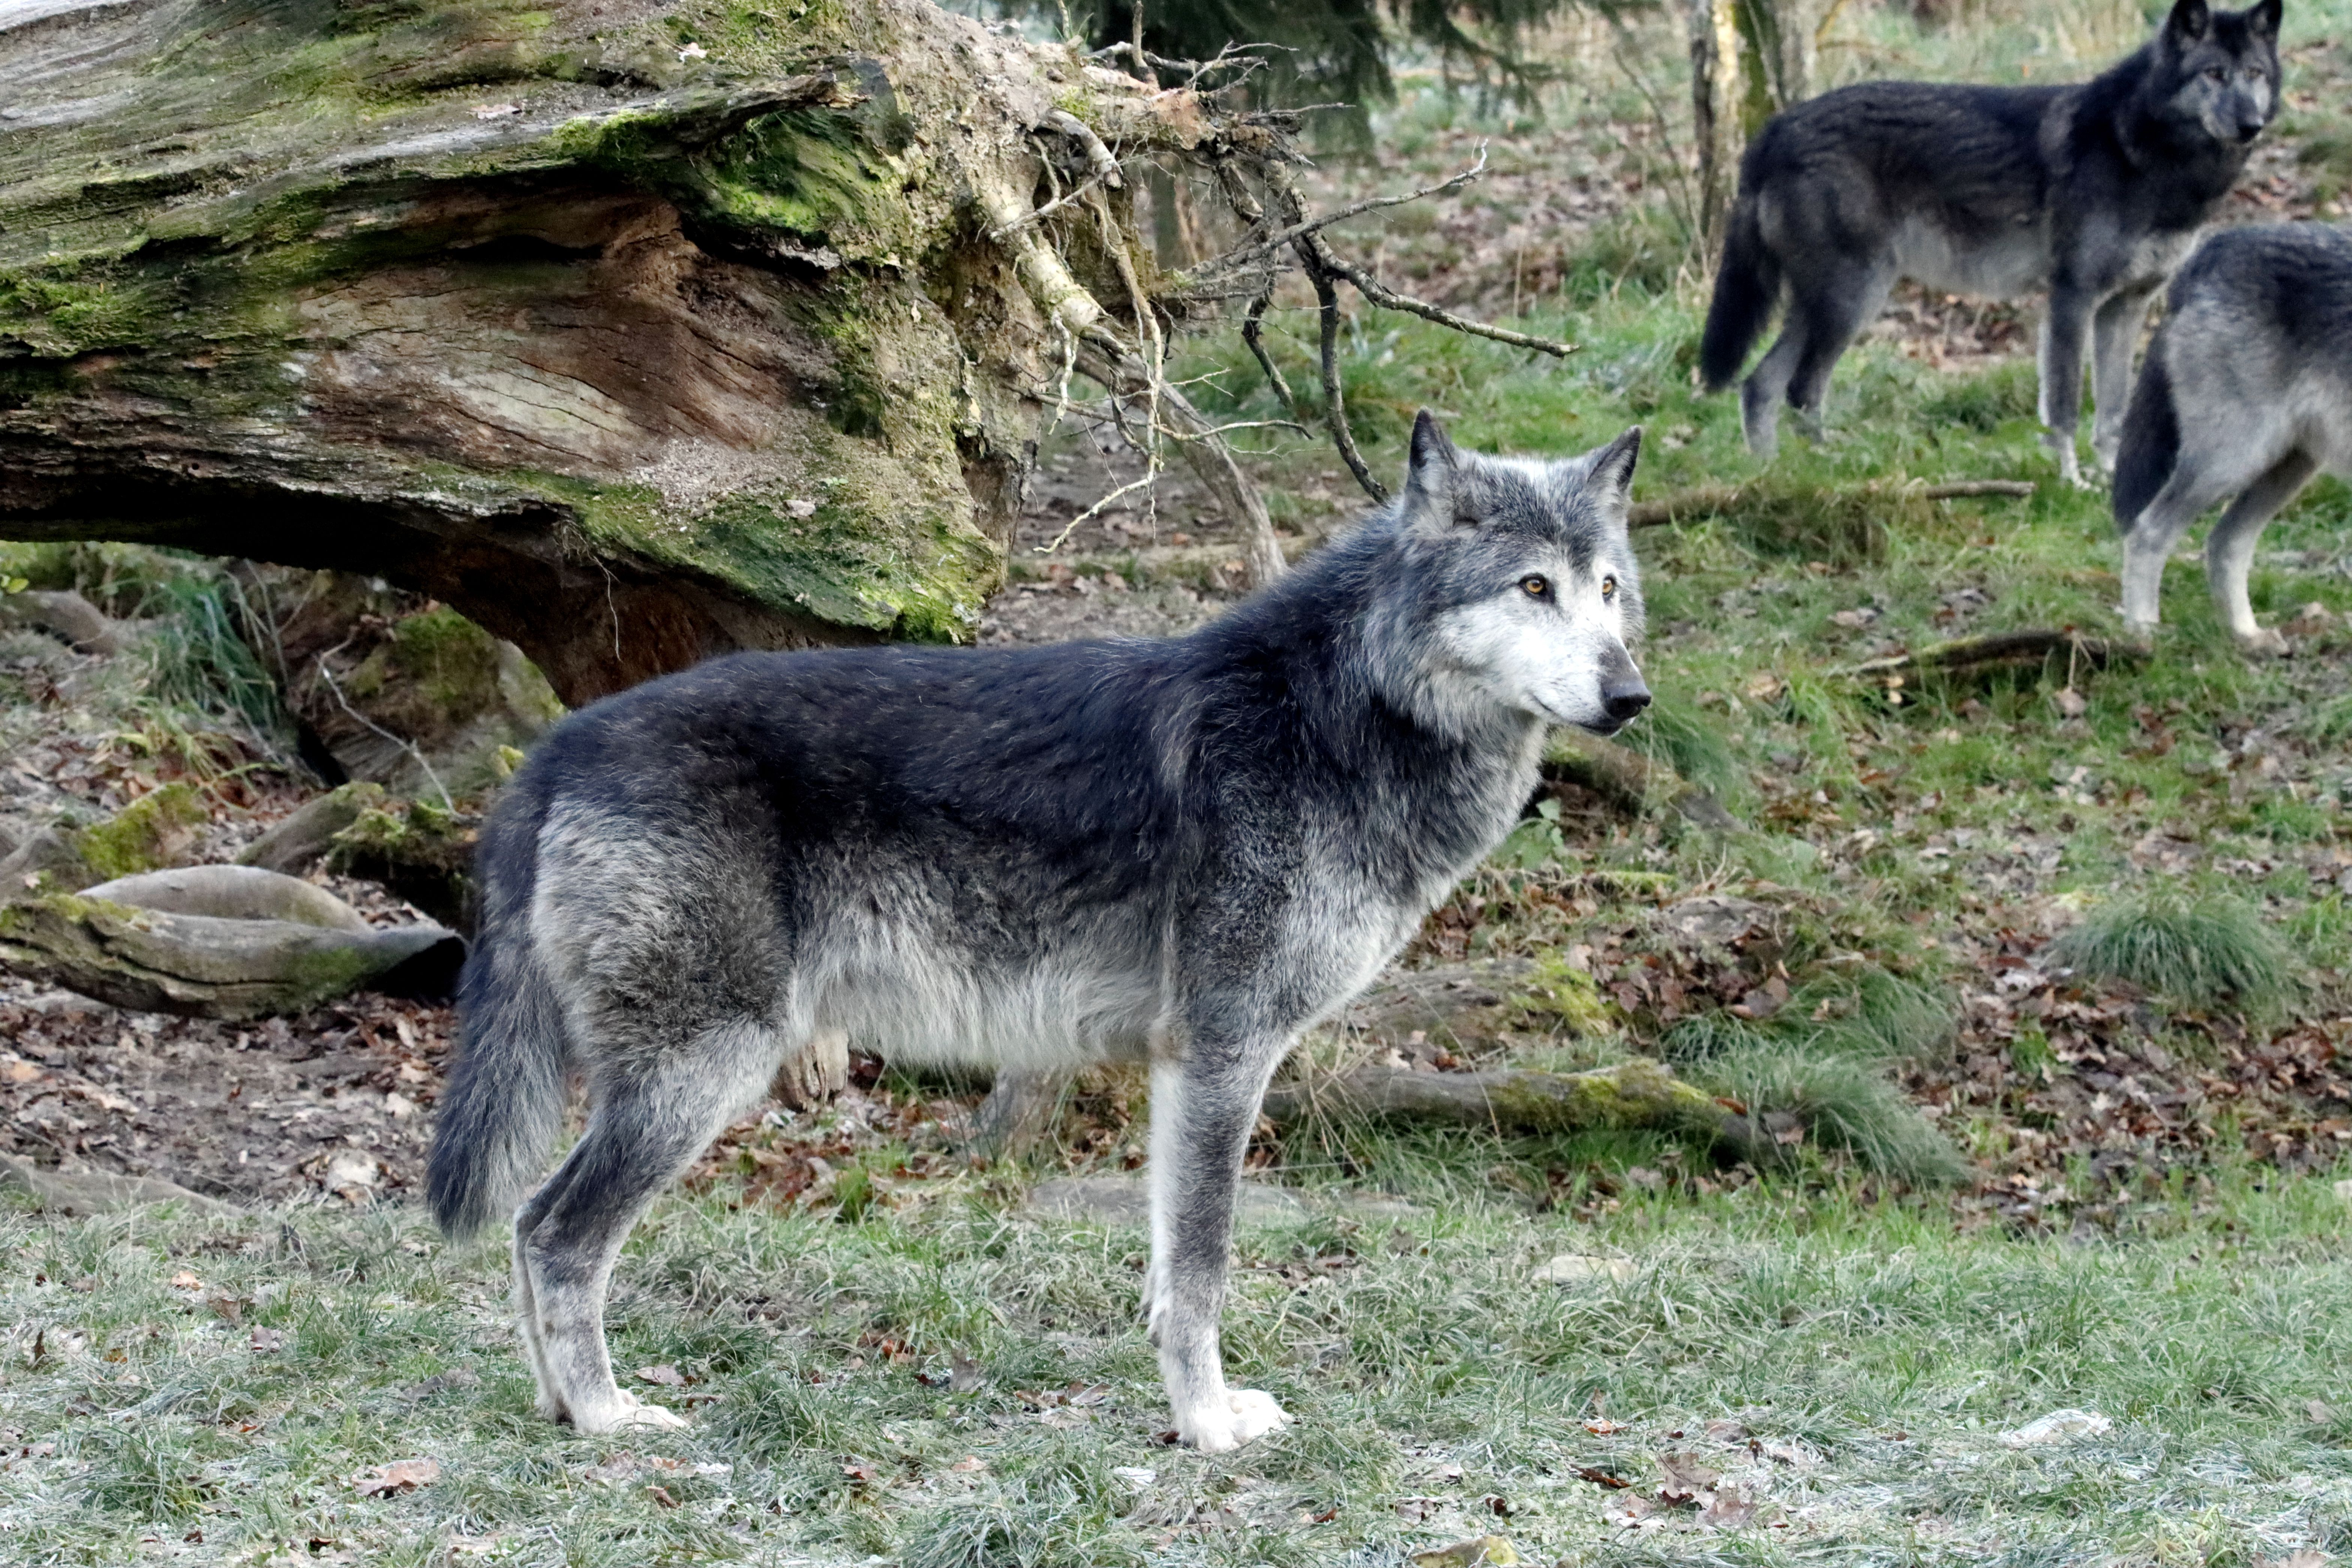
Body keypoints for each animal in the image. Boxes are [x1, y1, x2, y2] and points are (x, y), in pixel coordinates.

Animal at [426, 413, 1653, 1452]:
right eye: (1531, 587)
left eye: (1605, 590)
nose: (1631, 695)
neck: (1331, 719)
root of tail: (557, 749)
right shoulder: (1223, 1052)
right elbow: (1203, 1267)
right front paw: (1208, 1431)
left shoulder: (1181, 1067)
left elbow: (1167, 1270)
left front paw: (1194, 1410)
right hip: (702, 1075)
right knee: (554, 1234)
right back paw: (604, 1421)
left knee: (529, 1230)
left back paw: (557, 1407)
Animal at [1699, 0, 2282, 484]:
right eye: (2214, 74)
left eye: (2254, 74)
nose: (2251, 125)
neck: (2142, 152)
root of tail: (1772, 131)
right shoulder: (2072, 298)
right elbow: (2064, 405)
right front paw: (2070, 482)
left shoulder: (2127, 307)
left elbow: (2113, 412)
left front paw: (2108, 485)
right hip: (1852, 301)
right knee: (1801, 388)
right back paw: (1824, 471)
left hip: (1827, 304)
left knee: (1759, 386)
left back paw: (1771, 475)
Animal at [2113, 223, 2352, 652]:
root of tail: (2212, 248)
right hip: (2230, 462)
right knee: (2147, 532)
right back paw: (2143, 632)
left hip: (2286, 469)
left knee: (2225, 542)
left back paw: (2247, 636)